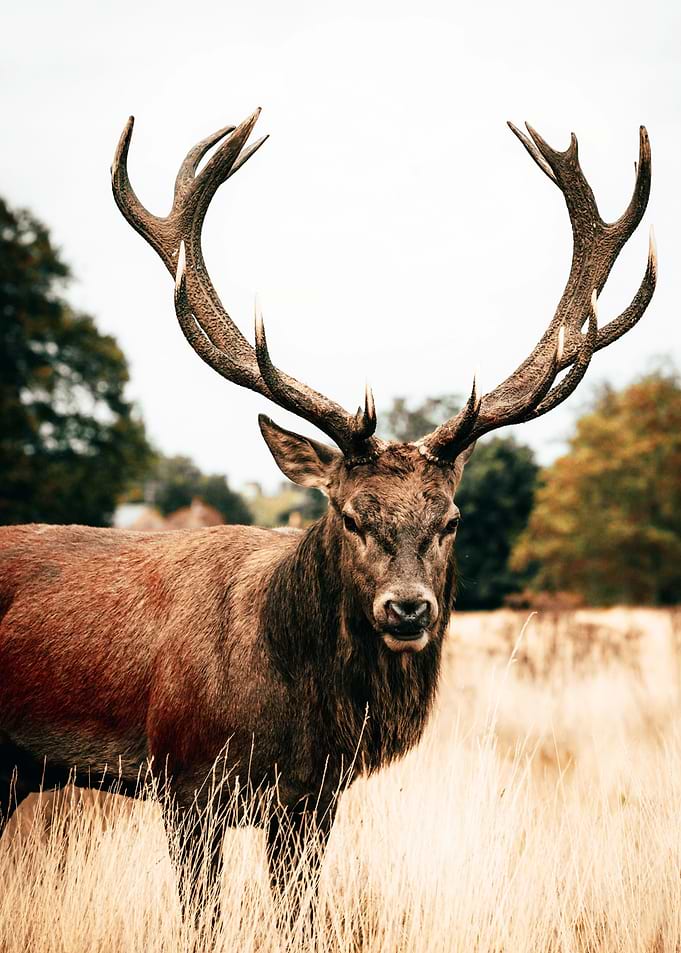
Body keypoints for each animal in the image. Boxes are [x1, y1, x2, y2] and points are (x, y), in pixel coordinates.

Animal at [0, 110, 656, 924]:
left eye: (451, 519)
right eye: (349, 515)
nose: (408, 608)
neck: (297, 714)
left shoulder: (313, 801)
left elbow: (299, 913)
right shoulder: (184, 780)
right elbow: (202, 918)